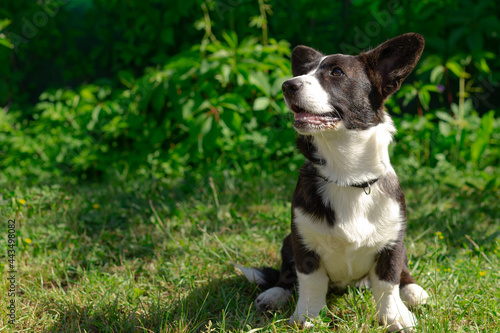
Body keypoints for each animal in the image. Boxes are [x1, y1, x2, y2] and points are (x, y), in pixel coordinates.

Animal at [237, 33, 430, 330]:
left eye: (336, 73)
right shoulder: (303, 242)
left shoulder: (392, 243)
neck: (348, 177)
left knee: (402, 273)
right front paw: (308, 317)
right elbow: (311, 282)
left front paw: (395, 316)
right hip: (287, 241)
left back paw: (412, 291)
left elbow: (387, 283)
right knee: (286, 276)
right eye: (304, 72)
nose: (287, 85)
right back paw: (274, 294)